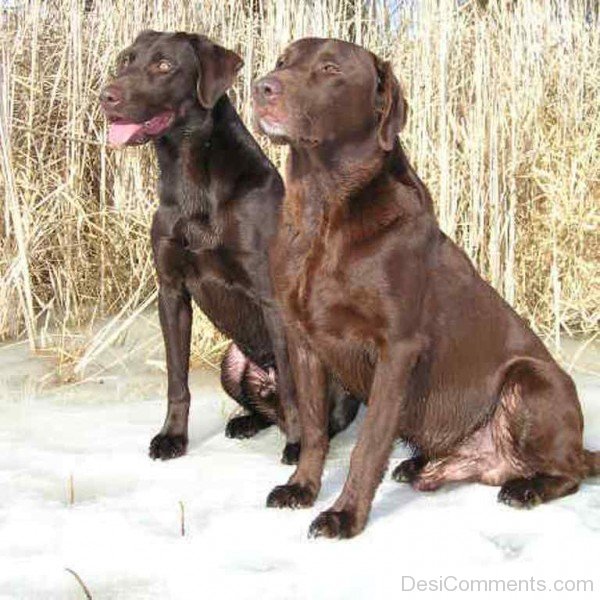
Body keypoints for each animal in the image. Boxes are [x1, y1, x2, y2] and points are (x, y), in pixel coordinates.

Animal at [100, 31, 358, 464]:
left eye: (164, 65)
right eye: (126, 60)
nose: (107, 96)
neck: (190, 177)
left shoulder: (272, 298)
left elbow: (294, 389)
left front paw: (296, 447)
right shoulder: (171, 291)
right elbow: (177, 379)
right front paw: (172, 437)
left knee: (316, 411)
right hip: (231, 361)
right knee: (265, 409)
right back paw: (245, 422)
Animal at [251, 38, 596, 540]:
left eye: (330, 68)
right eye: (282, 61)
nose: (261, 87)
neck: (324, 210)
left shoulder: (397, 348)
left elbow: (369, 443)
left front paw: (344, 515)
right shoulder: (303, 339)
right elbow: (314, 430)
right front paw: (301, 488)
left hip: (533, 379)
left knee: (571, 470)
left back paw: (527, 488)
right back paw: (422, 466)